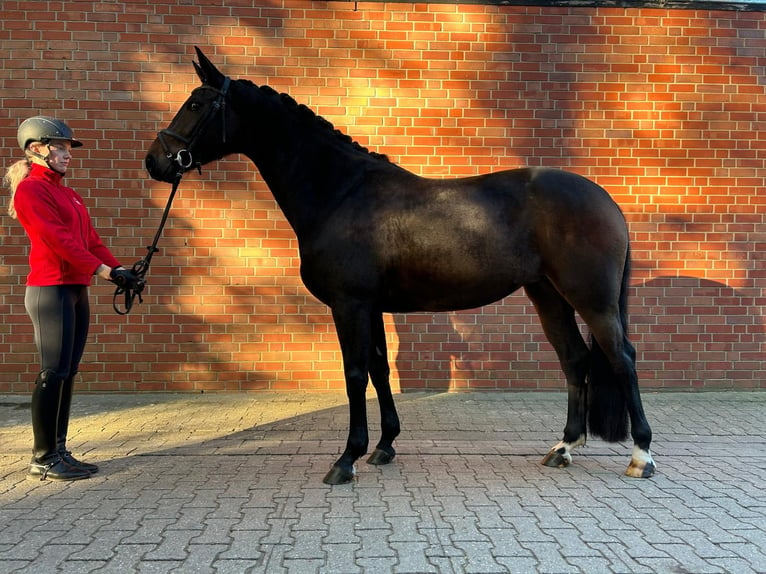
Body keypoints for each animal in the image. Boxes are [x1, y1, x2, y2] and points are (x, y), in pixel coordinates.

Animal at [144, 48, 656, 486]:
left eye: (195, 104)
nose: (155, 162)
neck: (341, 191)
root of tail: (605, 199)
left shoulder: (349, 304)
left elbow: (354, 374)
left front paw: (346, 459)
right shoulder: (370, 306)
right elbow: (378, 369)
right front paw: (384, 446)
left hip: (591, 298)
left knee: (622, 358)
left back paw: (641, 456)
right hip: (548, 295)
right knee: (575, 359)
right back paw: (564, 448)